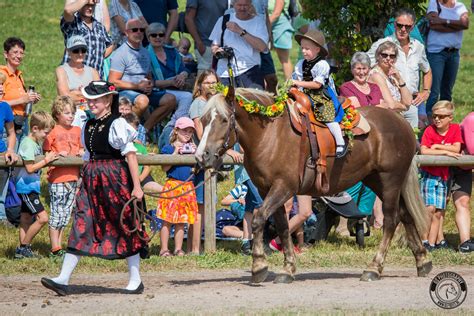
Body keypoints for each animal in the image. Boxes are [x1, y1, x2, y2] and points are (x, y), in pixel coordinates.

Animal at [194, 86, 432, 284]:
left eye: (224, 120)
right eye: (203, 120)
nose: (201, 156)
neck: (270, 135)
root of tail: (403, 123)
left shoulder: (283, 187)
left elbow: (259, 218)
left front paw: (259, 266)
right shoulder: (268, 190)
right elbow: (282, 226)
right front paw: (287, 269)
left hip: (390, 180)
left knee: (392, 220)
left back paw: (374, 268)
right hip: (377, 181)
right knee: (406, 215)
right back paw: (422, 261)